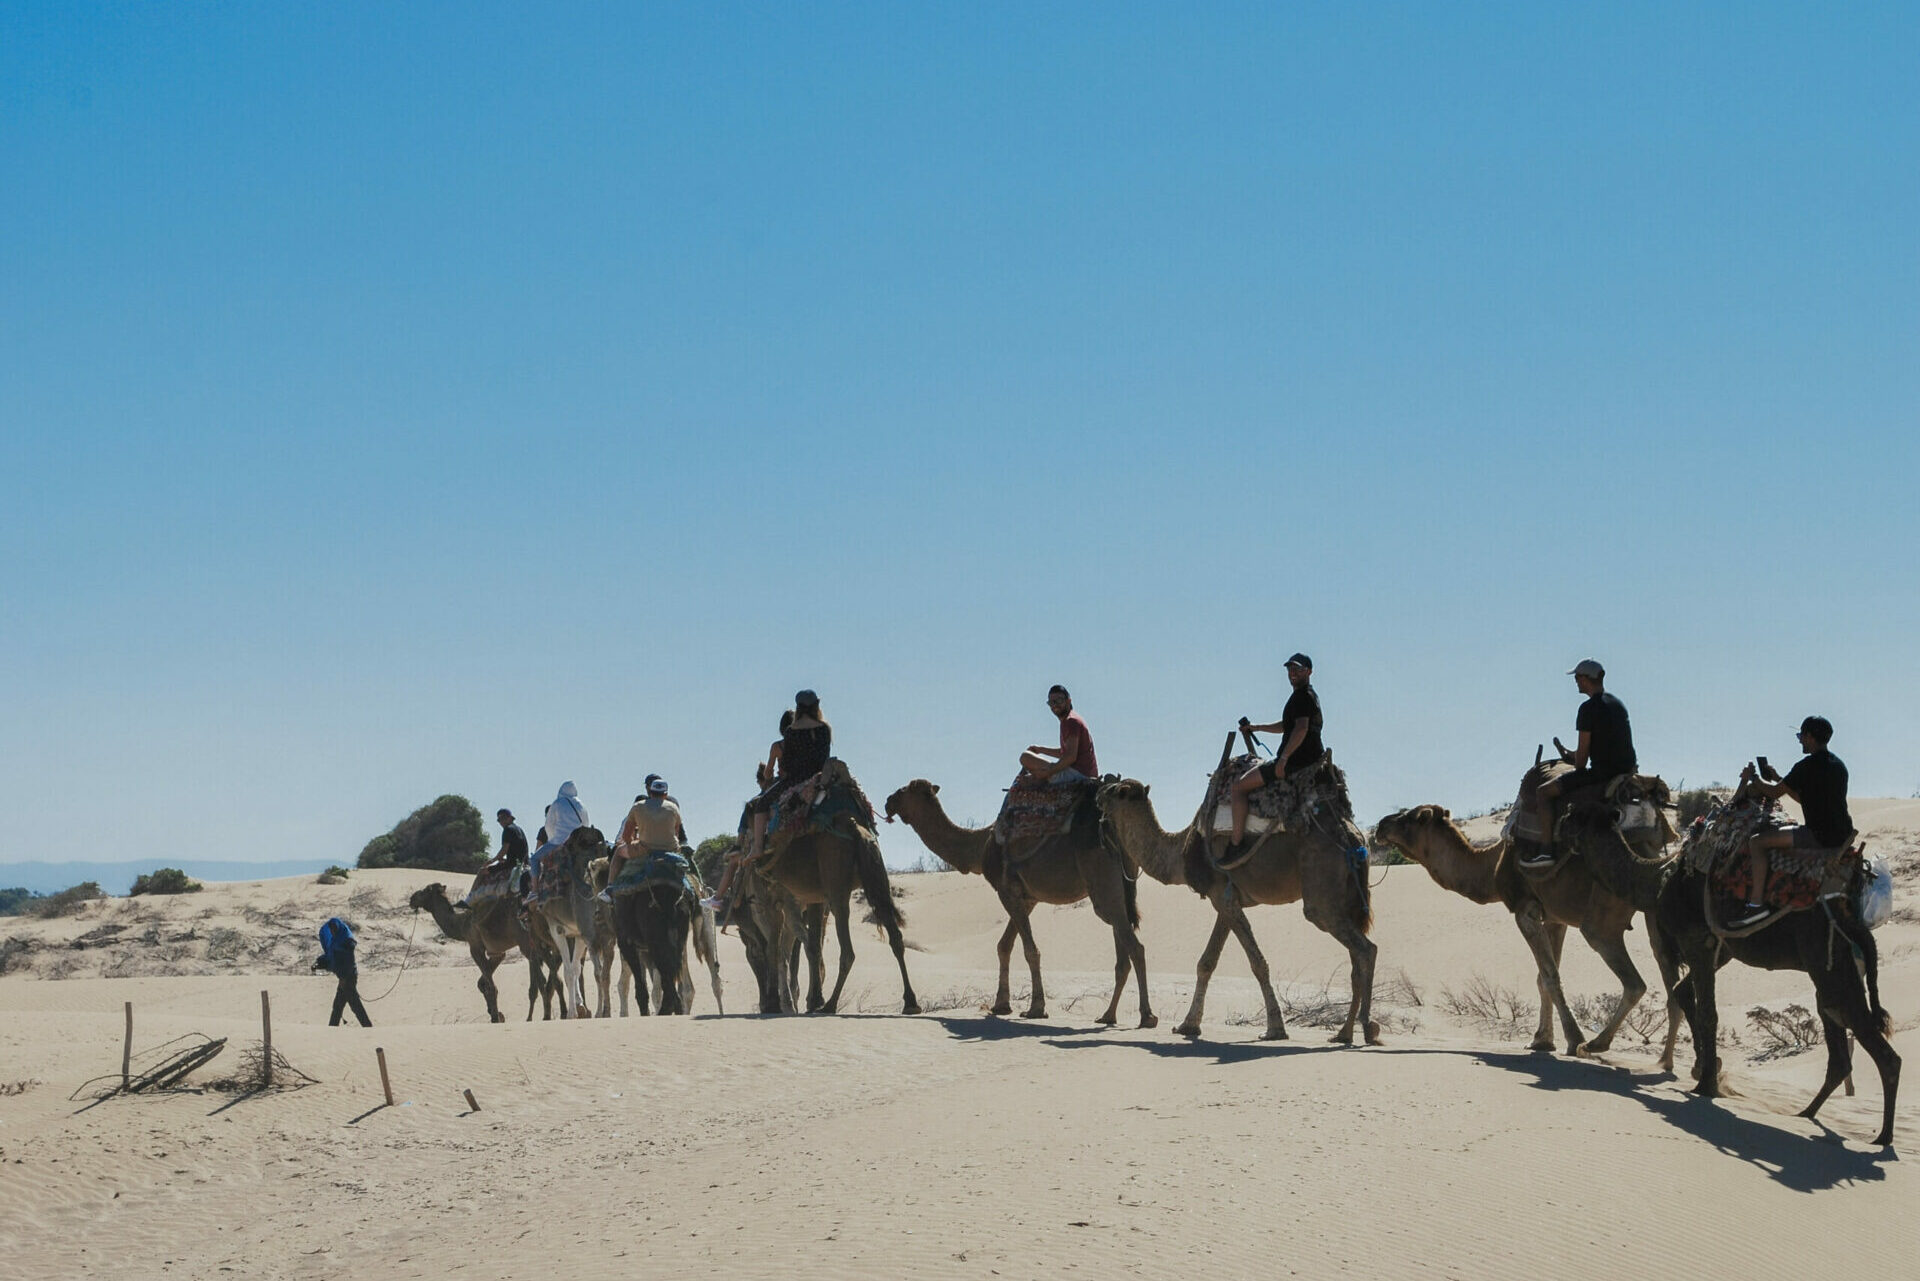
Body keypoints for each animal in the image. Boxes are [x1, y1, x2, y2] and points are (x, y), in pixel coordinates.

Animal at [403, 883, 560, 1021]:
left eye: (426, 890)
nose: (412, 899)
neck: (462, 924)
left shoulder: (475, 947)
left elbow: (490, 986)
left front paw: (496, 1017)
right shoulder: (497, 953)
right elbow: (482, 983)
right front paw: (496, 1013)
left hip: (526, 941)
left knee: (541, 978)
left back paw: (544, 1015)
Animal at [887, 775, 1152, 1029]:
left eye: (904, 790)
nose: (888, 801)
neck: (981, 846)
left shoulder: (1006, 890)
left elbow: (1029, 950)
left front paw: (1036, 1008)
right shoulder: (1027, 897)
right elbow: (1004, 945)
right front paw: (1001, 1005)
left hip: (1102, 885)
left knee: (1135, 945)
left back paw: (1147, 1016)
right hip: (1122, 883)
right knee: (1122, 948)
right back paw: (1108, 1015)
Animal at [1098, 775, 1382, 1044]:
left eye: (1117, 791)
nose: (1099, 795)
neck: (1181, 851)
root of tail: (1353, 836)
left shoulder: (1223, 897)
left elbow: (1257, 963)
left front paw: (1275, 1029)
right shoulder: (1226, 899)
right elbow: (1207, 962)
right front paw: (1188, 1025)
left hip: (1321, 894)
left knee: (1364, 947)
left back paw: (1368, 1027)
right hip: (1348, 898)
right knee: (1355, 960)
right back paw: (1344, 1033)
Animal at [1374, 806, 1674, 1067]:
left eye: (1410, 818)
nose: (1381, 825)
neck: (1491, 867)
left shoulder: (1524, 910)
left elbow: (1550, 976)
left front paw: (1572, 1040)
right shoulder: (1554, 918)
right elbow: (1543, 977)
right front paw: (1541, 1040)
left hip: (1602, 918)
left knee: (1634, 982)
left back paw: (1595, 1045)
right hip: (1657, 915)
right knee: (1670, 977)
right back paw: (1665, 1063)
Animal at [1566, 795, 1896, 1144]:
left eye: (1580, 814)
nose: (1562, 821)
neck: (1659, 880)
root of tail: (1857, 923)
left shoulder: (1698, 941)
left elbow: (1708, 1013)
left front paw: (1706, 1084)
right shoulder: (1720, 948)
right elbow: (1685, 995)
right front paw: (1703, 1066)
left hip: (1833, 966)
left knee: (1884, 1055)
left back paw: (1882, 1137)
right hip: (1833, 976)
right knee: (1838, 1048)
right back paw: (1805, 1114)